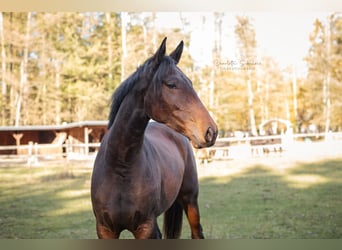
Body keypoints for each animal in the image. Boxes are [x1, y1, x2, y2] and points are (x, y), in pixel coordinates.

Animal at [91, 37, 218, 238]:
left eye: (190, 82)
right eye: (171, 84)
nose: (211, 131)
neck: (120, 167)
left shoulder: (145, 227)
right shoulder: (105, 230)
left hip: (190, 200)